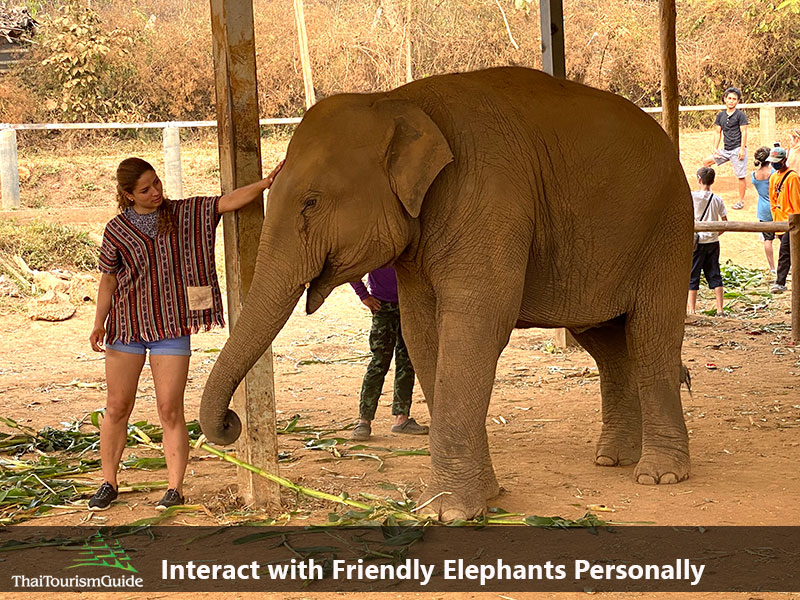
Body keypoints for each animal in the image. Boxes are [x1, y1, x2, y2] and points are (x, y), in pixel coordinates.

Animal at [197, 65, 692, 520]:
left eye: (311, 202)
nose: (229, 424)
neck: (396, 101)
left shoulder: (489, 199)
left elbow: (475, 326)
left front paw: (450, 511)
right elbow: (421, 333)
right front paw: (480, 499)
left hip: (667, 231)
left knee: (650, 335)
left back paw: (660, 475)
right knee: (606, 344)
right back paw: (612, 459)